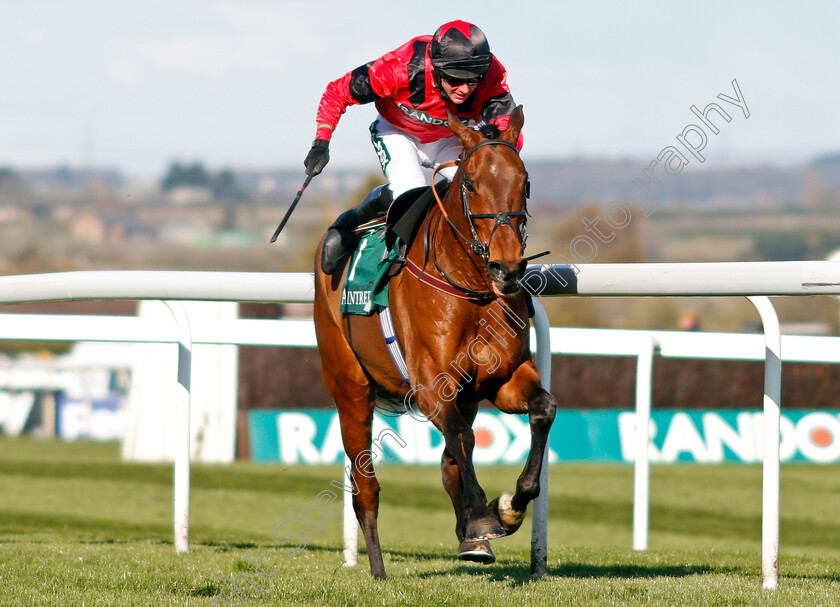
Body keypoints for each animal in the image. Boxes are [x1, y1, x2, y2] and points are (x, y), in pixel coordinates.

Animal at [312, 105, 556, 580]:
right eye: (470, 183)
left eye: (525, 181)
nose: (508, 268)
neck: (472, 287)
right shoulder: (430, 384)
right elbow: (463, 438)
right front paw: (483, 516)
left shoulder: (504, 378)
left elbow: (542, 408)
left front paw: (510, 506)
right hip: (349, 387)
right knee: (366, 486)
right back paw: (377, 569)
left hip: (467, 395)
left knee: (447, 463)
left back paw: (470, 540)